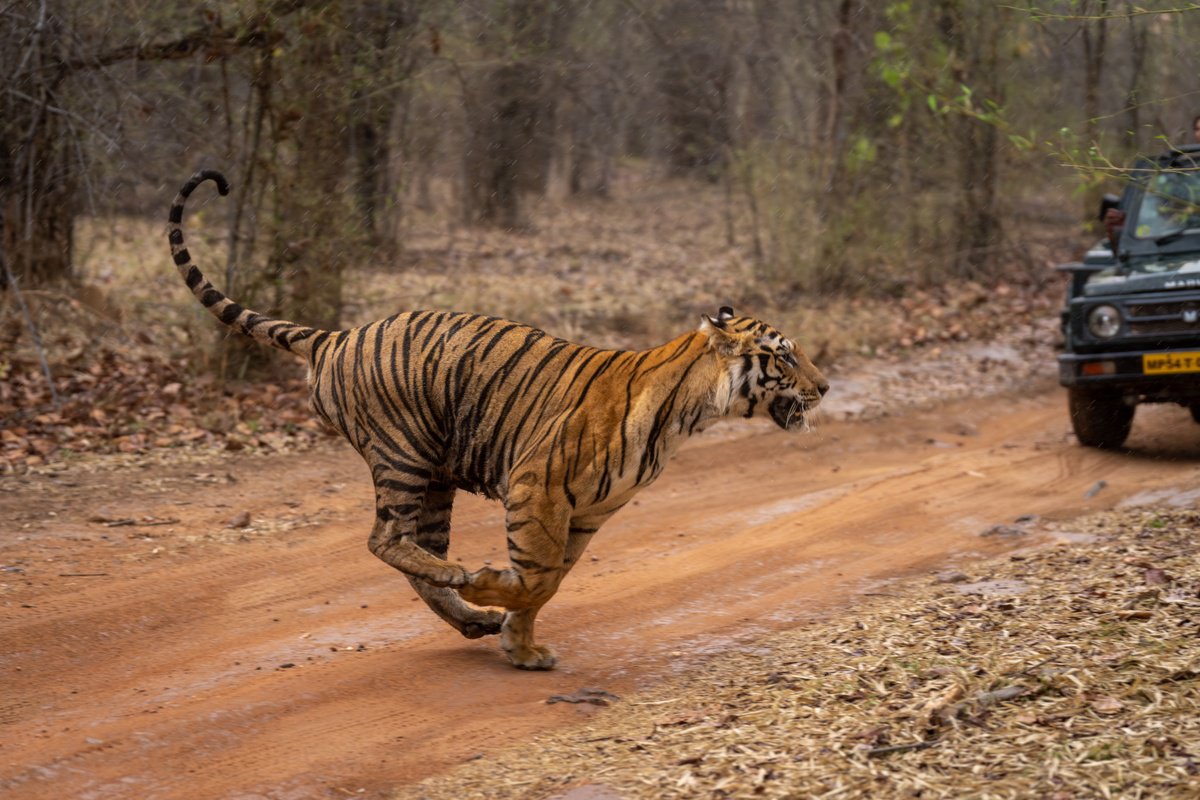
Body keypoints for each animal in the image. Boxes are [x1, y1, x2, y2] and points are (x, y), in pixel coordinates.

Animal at [166, 169, 825, 671]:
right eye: (786, 356)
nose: (825, 387)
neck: (690, 414)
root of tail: (336, 336)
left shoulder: (588, 514)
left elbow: (549, 582)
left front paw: (520, 645)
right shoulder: (540, 488)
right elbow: (536, 578)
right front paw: (493, 591)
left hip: (435, 477)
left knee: (413, 550)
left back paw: (469, 615)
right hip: (403, 453)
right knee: (386, 539)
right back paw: (462, 580)